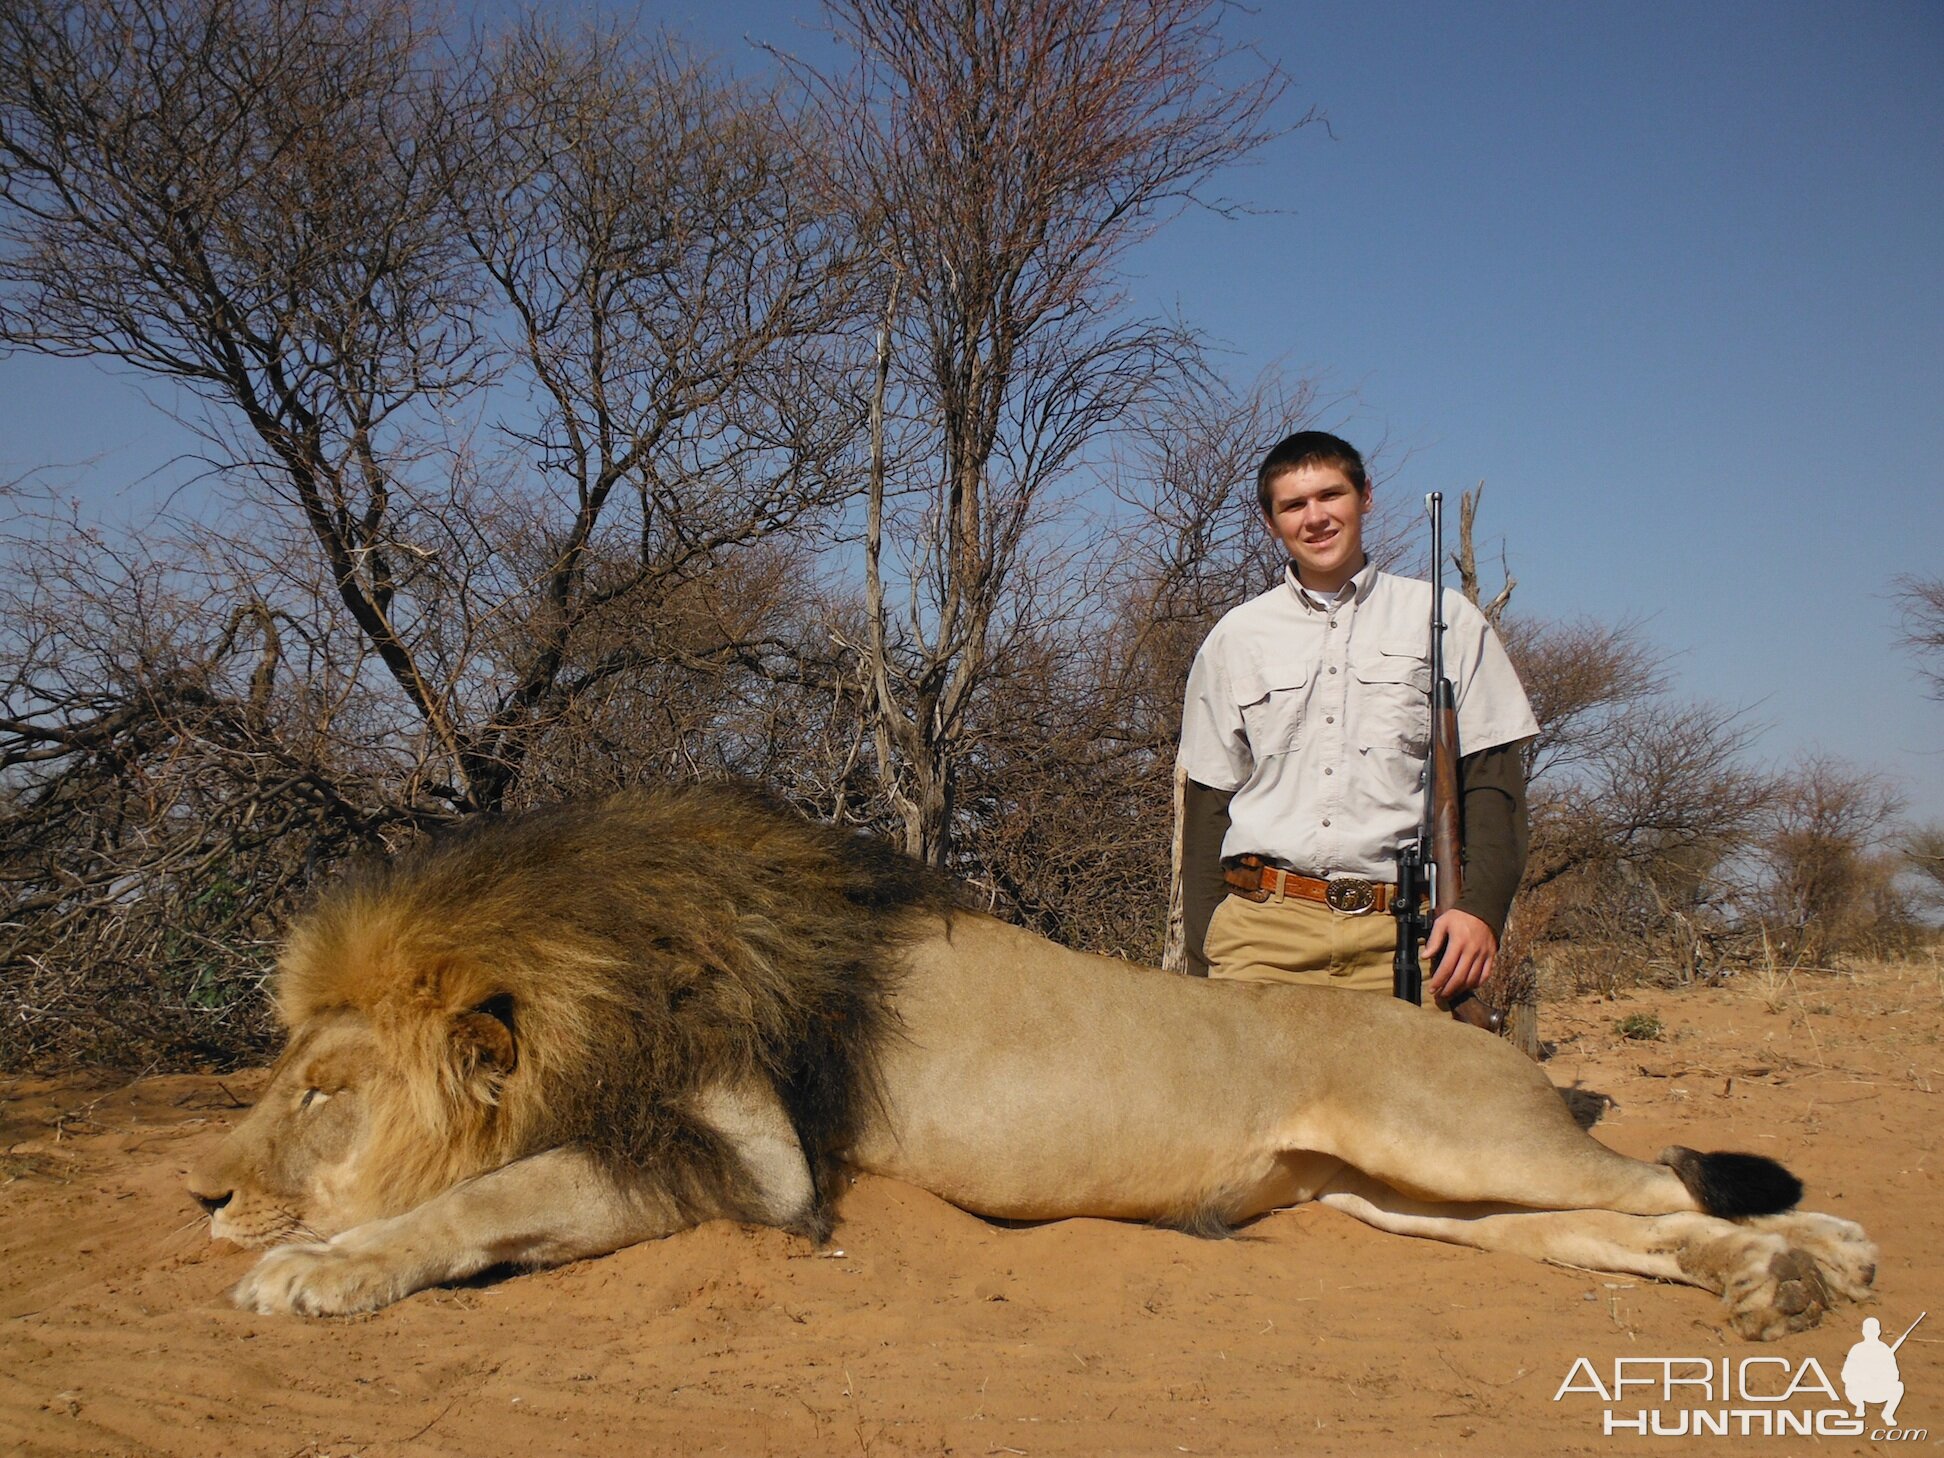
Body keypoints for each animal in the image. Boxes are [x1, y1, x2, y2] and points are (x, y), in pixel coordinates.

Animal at [189, 781, 1874, 1345]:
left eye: (322, 1094)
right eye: (276, 1077)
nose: (198, 1196)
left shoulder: (757, 1162)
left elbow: (492, 1193)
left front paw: (316, 1265)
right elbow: (499, 1187)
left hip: (1452, 1132)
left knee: (1659, 1173)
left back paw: (1830, 1254)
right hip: (1394, 1195)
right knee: (1620, 1221)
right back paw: (1766, 1283)